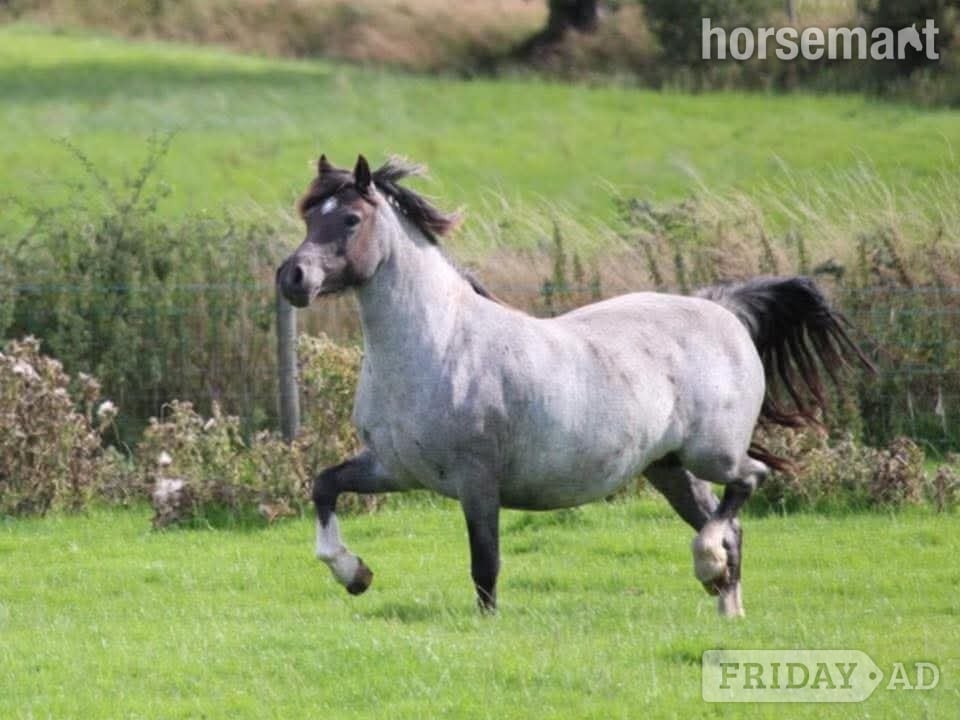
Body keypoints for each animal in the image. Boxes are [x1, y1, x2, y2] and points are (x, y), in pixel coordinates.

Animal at [277, 154, 873, 617]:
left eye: (351, 219)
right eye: (309, 216)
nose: (292, 278)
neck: (438, 345)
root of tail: (723, 309)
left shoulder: (477, 481)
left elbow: (485, 565)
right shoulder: (394, 468)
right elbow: (324, 486)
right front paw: (355, 574)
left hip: (713, 454)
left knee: (748, 484)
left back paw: (708, 567)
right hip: (669, 468)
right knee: (728, 526)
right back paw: (726, 605)